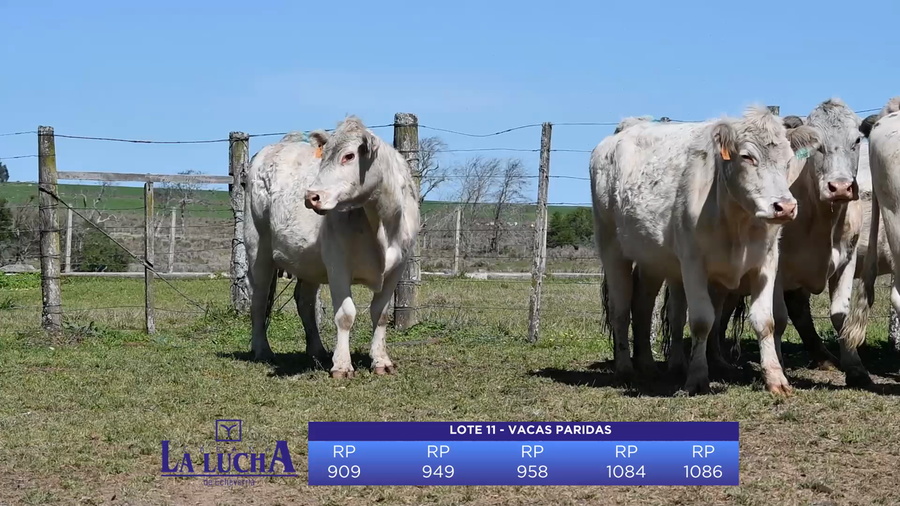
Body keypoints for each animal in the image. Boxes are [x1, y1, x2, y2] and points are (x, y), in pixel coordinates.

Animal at [244, 116, 420, 378]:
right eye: (324, 155)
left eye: (349, 156)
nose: (311, 196)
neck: (382, 221)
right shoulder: (338, 264)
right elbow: (345, 315)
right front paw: (342, 365)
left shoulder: (398, 267)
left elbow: (380, 314)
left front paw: (381, 361)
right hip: (258, 249)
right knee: (259, 300)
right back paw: (262, 350)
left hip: (309, 263)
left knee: (304, 302)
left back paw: (317, 350)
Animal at [590, 105, 820, 395]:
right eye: (747, 156)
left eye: (789, 160)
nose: (785, 207)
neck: (737, 223)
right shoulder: (693, 263)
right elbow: (702, 321)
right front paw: (697, 378)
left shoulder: (766, 264)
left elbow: (765, 321)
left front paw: (776, 379)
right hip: (611, 247)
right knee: (620, 310)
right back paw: (625, 369)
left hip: (652, 260)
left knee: (643, 306)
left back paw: (651, 366)